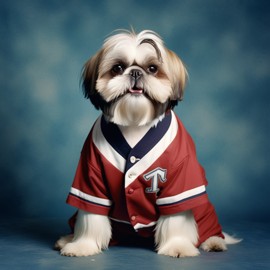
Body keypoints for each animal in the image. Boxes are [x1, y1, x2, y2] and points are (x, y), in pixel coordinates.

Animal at [53, 29, 239, 258]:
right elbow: (91, 216)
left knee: (208, 227)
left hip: (203, 211)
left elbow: (176, 217)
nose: (135, 73)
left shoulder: (180, 181)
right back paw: (67, 238)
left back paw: (214, 241)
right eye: (118, 68)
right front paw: (82, 245)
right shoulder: (89, 176)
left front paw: (177, 246)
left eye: (152, 69)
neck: (134, 122)